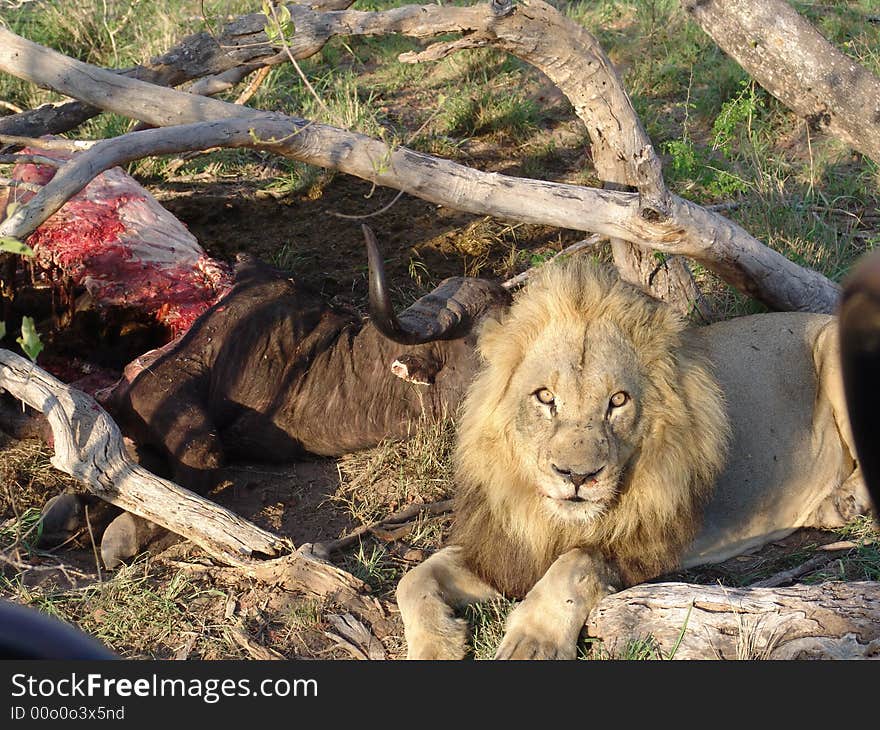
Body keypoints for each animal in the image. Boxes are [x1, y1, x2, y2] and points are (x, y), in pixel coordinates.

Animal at [398, 258, 868, 660]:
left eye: (618, 401)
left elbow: (575, 562)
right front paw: (435, 646)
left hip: (833, 347)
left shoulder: (643, 550)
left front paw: (534, 641)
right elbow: (414, 577)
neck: (551, 519)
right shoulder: (502, 552)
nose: (578, 476)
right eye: (545, 397)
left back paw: (840, 505)